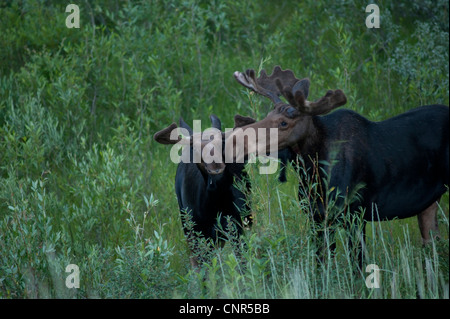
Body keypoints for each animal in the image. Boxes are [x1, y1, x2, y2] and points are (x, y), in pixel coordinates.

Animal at [230, 66, 448, 268]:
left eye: (284, 123)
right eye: (267, 114)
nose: (236, 138)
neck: (313, 172)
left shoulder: (356, 214)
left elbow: (357, 265)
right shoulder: (317, 217)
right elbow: (321, 263)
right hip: (429, 204)